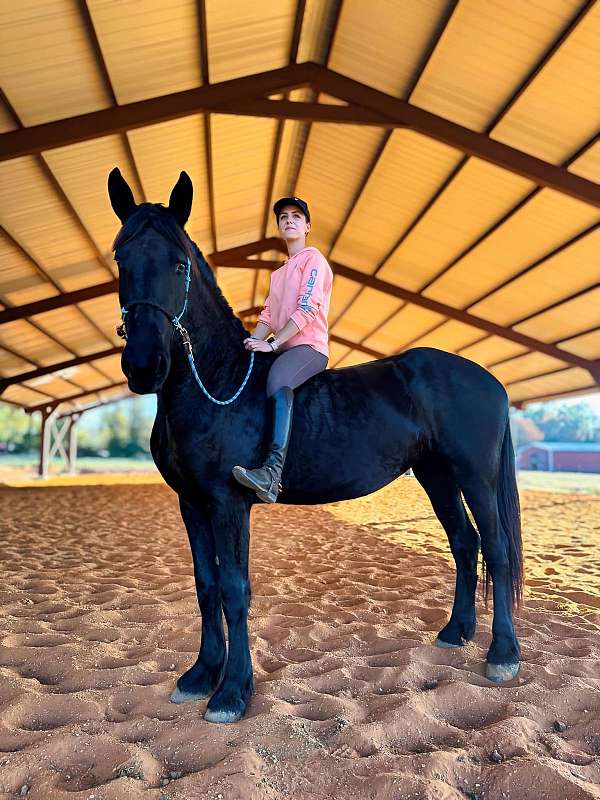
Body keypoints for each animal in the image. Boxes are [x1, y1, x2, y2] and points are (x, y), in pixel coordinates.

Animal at [110, 169, 524, 724]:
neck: (213, 380)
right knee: (465, 542)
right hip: (436, 476)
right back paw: (456, 633)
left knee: (495, 549)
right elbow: (206, 586)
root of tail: (489, 379)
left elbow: (235, 590)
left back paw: (501, 654)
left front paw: (232, 692)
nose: (144, 365)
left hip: (474, 475)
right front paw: (201, 676)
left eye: (178, 264)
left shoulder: (227, 503)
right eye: (121, 259)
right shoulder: (192, 504)